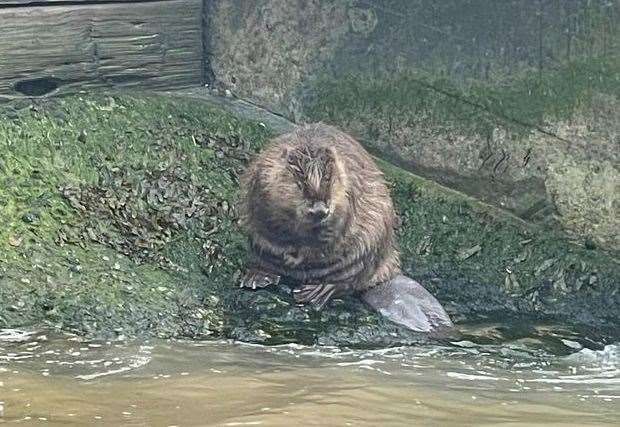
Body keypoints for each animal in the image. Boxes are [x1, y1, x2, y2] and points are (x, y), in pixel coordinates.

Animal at [237, 122, 450, 332]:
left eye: (329, 179)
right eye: (300, 181)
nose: (319, 210)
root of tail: (387, 275)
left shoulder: (347, 190)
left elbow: (338, 227)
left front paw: (306, 250)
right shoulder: (263, 178)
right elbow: (269, 219)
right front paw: (290, 253)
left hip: (363, 254)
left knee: (346, 283)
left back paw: (314, 292)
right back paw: (256, 278)